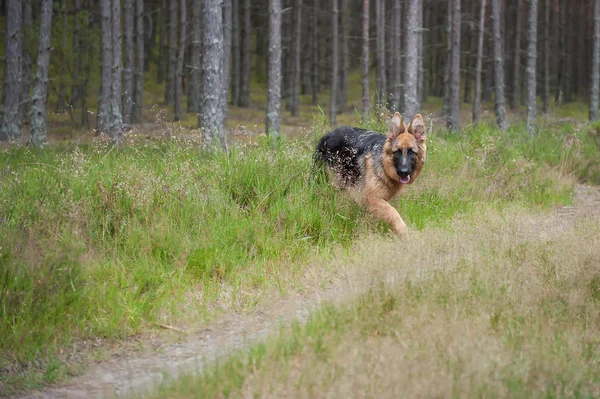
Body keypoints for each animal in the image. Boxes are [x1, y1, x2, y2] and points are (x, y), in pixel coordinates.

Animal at [314, 111, 426, 239]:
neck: (383, 164)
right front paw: (403, 233)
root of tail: (327, 136)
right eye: (397, 152)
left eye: (411, 152)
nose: (404, 172)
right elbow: (393, 212)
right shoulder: (371, 198)